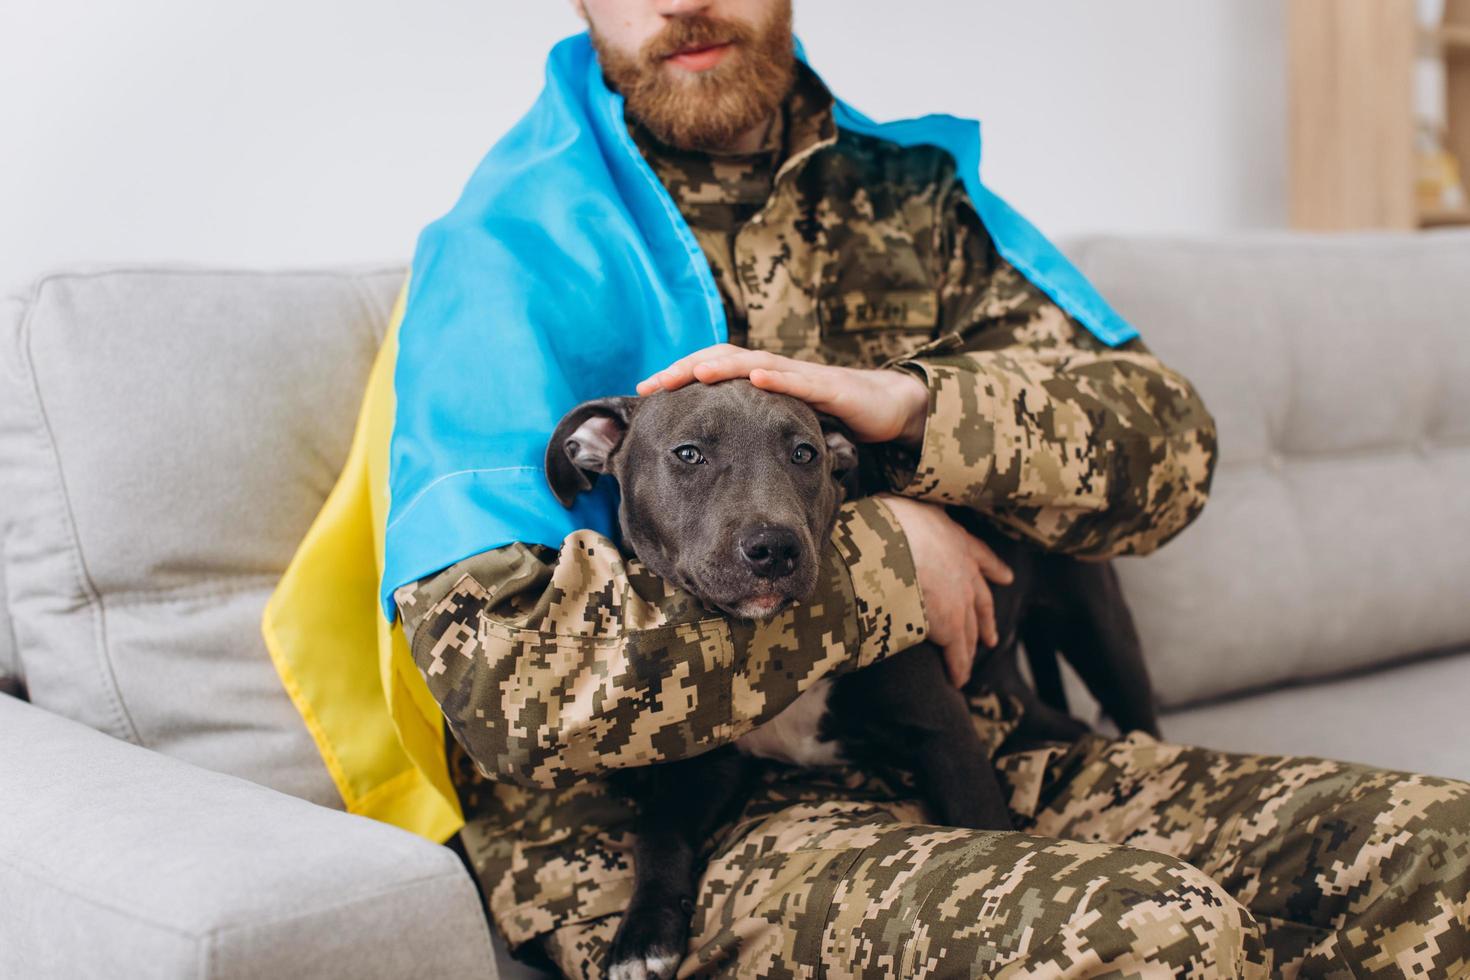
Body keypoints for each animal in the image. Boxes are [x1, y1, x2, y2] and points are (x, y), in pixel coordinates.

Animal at [546, 382, 1152, 980]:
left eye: (804, 454)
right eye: (688, 453)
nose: (774, 548)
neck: (774, 646)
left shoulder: (945, 731)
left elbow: (985, 823)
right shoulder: (709, 765)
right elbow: (657, 830)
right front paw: (642, 933)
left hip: (1103, 635)